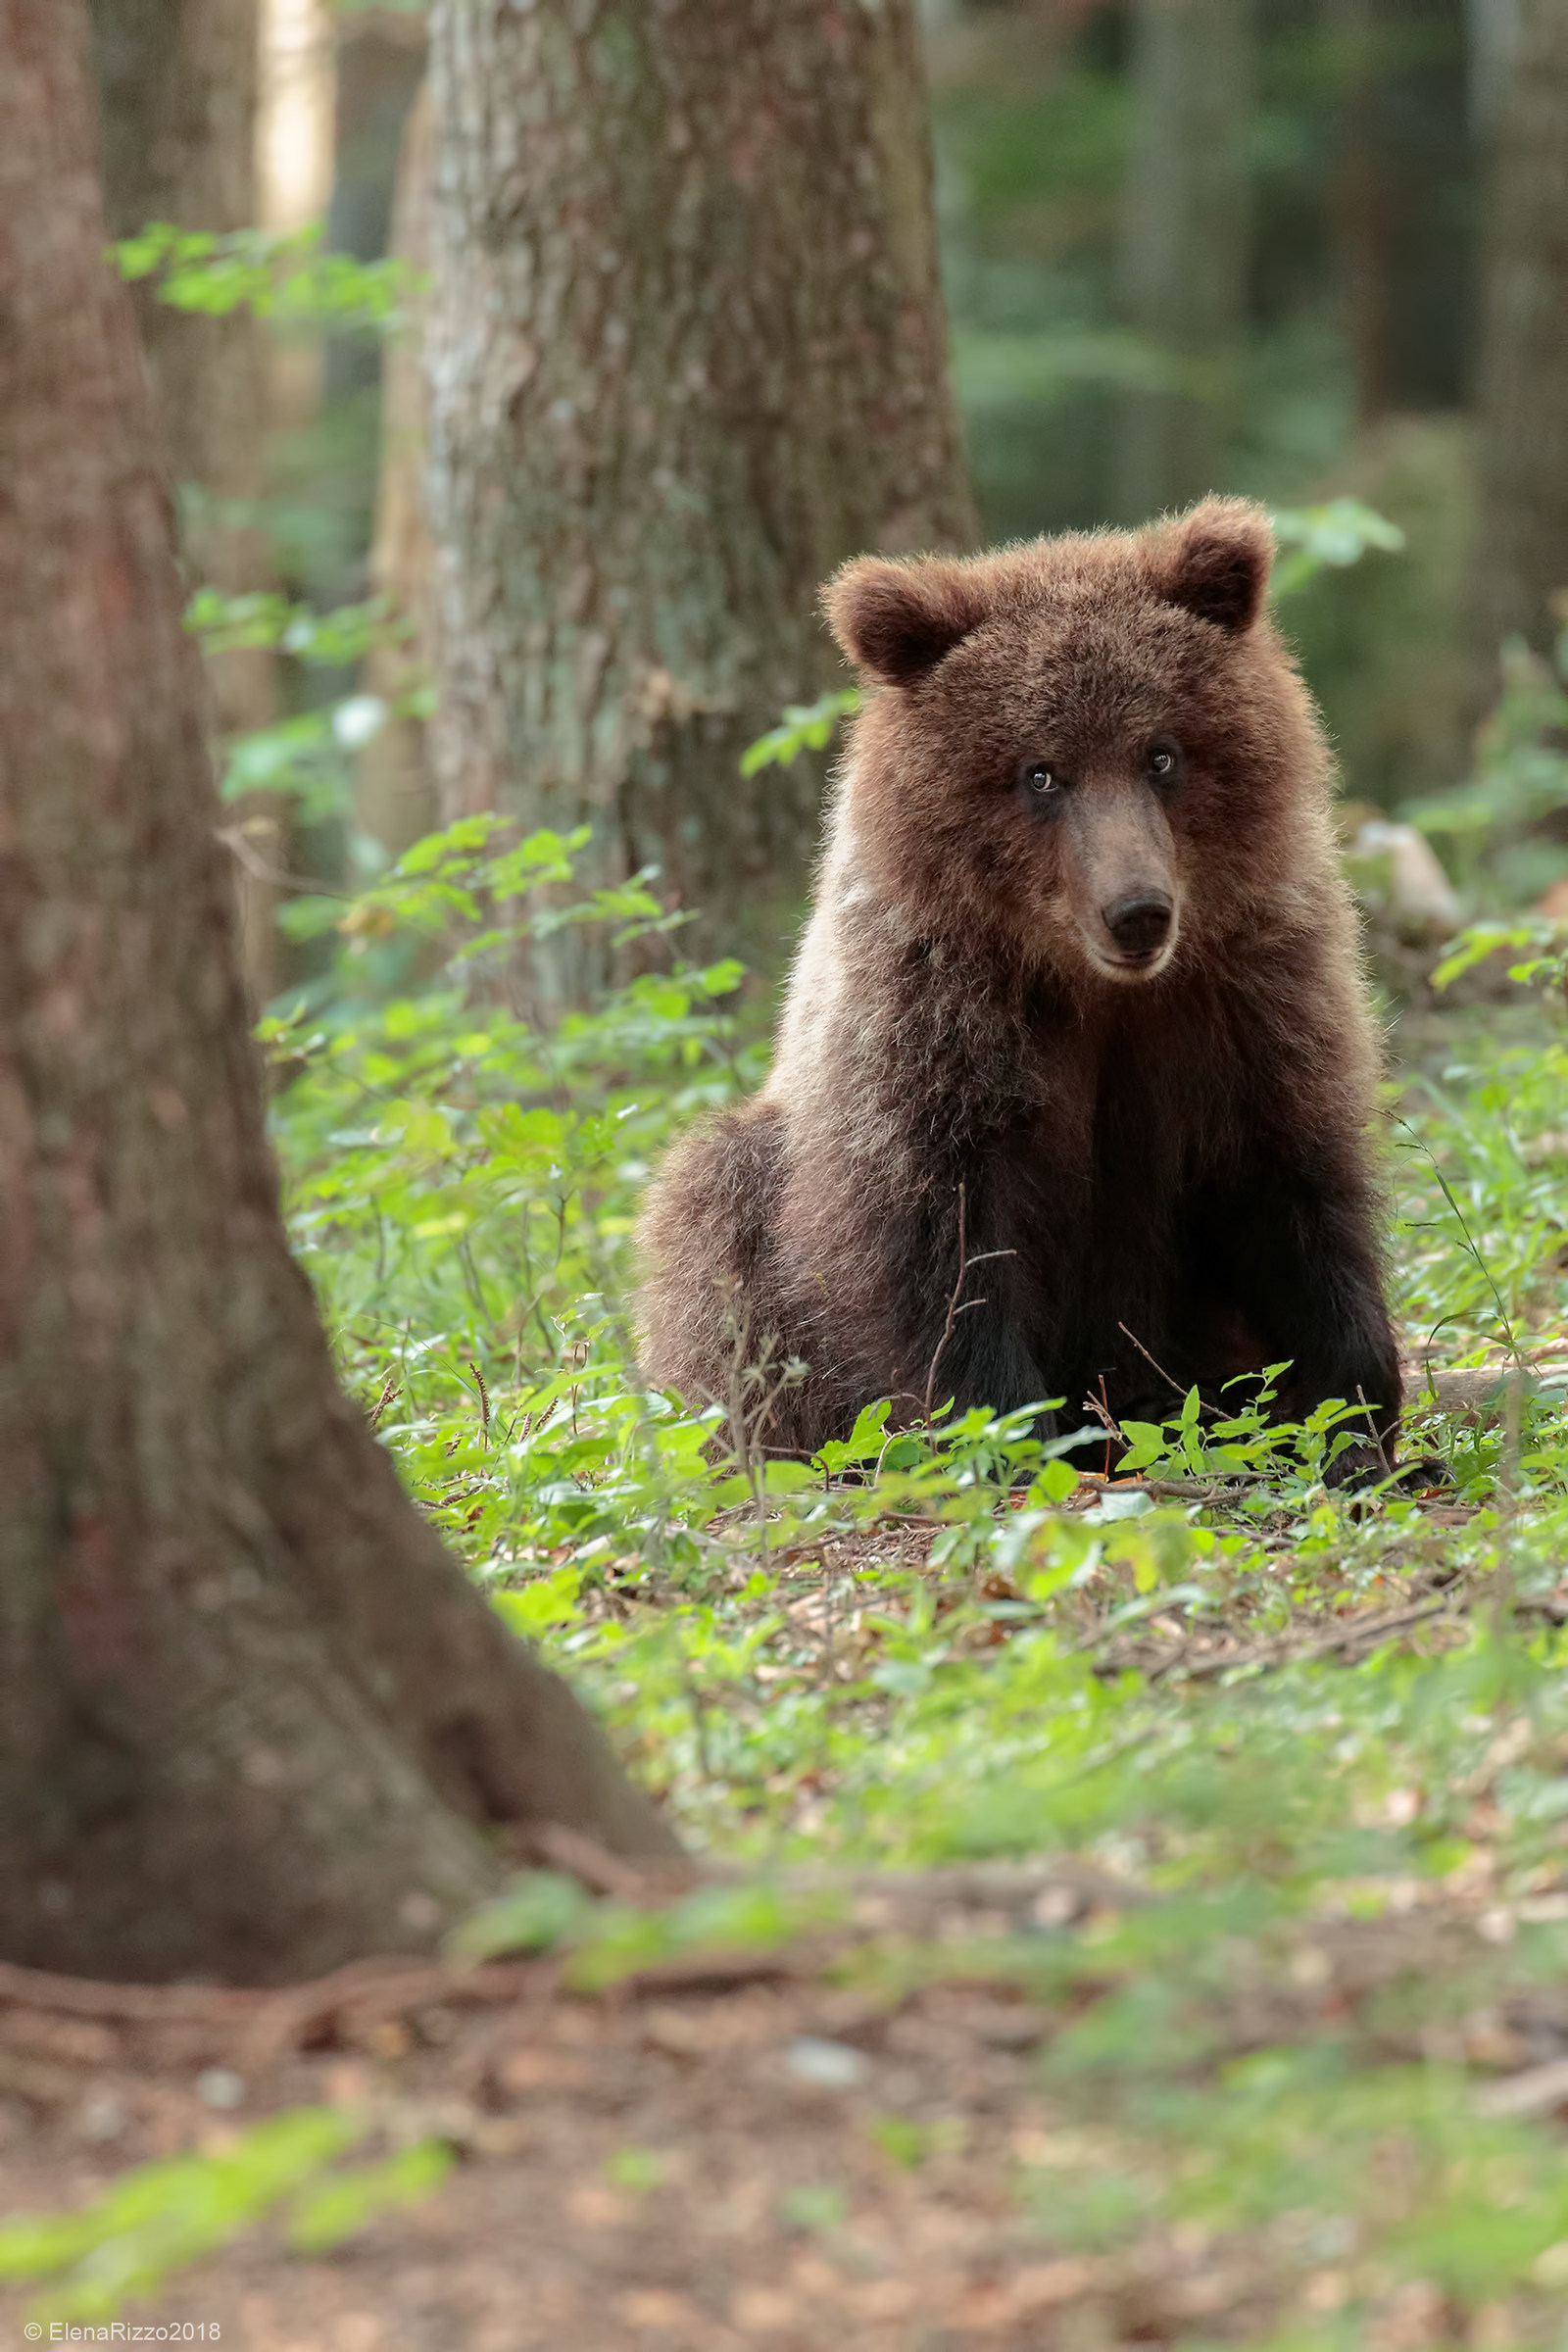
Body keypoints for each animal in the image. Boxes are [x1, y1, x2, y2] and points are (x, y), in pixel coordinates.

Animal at [635, 497, 1404, 1480]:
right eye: (1041, 771)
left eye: (1161, 754)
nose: (1137, 912)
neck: (1089, 986)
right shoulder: (935, 1020)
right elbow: (941, 1240)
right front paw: (1008, 1432)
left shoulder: (1248, 993)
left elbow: (1294, 1182)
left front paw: (1357, 1411)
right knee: (713, 1217)